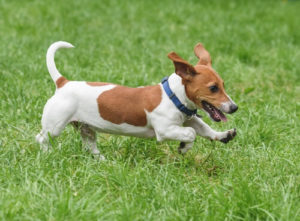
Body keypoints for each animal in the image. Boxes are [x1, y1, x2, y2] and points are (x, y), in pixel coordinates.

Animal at [35, 41, 237, 159]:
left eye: (223, 85)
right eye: (213, 88)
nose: (234, 107)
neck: (172, 96)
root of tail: (63, 83)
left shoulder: (190, 119)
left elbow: (204, 129)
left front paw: (223, 135)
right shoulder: (165, 130)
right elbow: (191, 133)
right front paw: (184, 148)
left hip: (86, 129)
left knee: (90, 146)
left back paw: (102, 161)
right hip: (55, 125)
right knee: (42, 138)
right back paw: (47, 155)